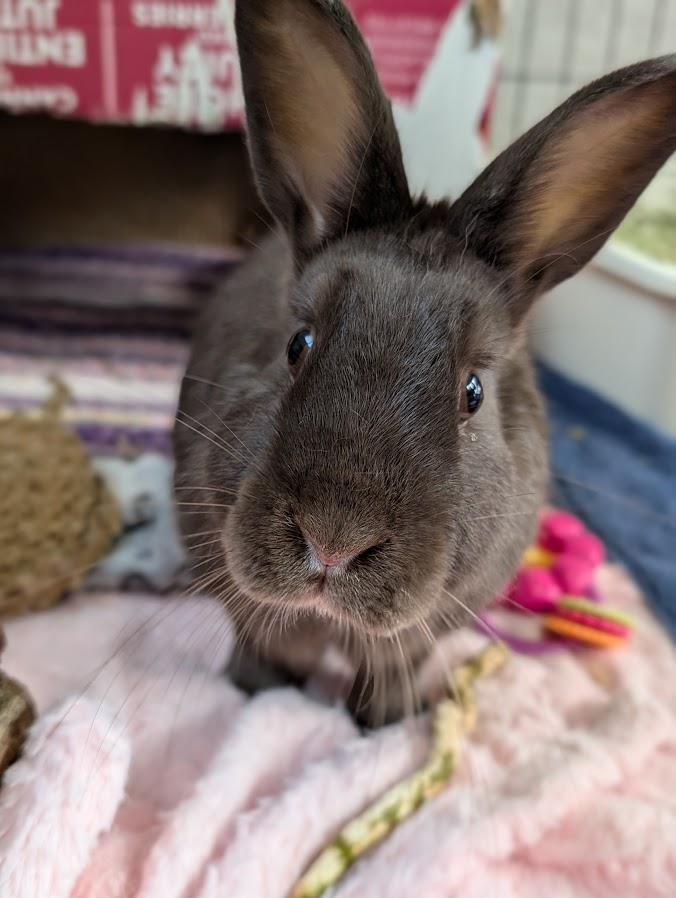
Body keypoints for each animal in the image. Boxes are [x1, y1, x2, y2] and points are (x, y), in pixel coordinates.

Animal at [174, 0, 676, 725]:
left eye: (473, 391)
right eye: (297, 345)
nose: (333, 542)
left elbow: (390, 672)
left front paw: (388, 723)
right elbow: (265, 650)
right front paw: (255, 697)